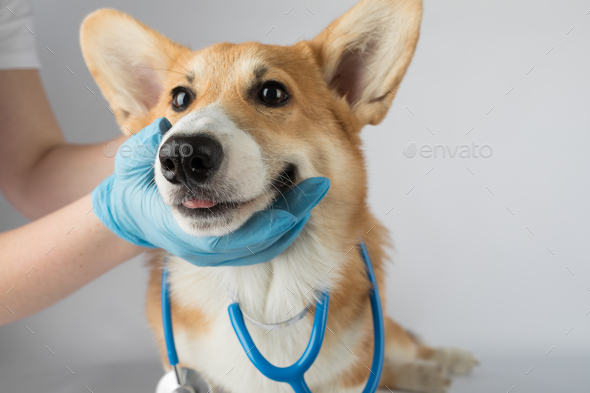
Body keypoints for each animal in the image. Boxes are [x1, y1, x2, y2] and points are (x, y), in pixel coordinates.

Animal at [83, 1, 478, 390]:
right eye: (180, 98)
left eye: (272, 93)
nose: (181, 154)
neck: (263, 280)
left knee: (409, 345)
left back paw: (444, 363)